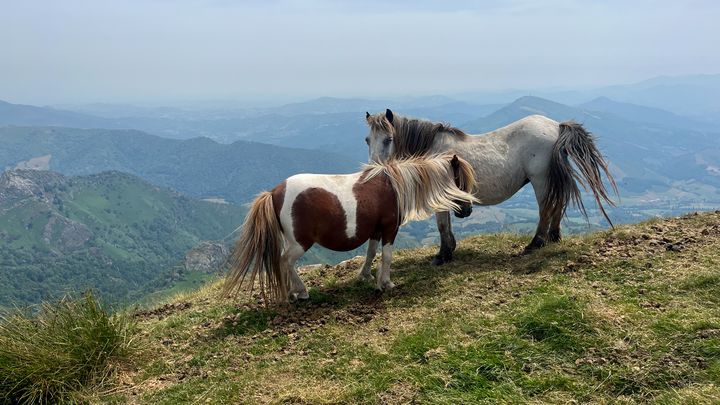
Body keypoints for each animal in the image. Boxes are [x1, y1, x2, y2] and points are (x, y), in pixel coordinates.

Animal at [222, 153, 476, 302]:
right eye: (460, 181)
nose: (467, 211)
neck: (392, 186)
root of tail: (275, 192)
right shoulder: (389, 229)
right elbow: (387, 256)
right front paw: (386, 283)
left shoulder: (375, 230)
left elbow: (371, 253)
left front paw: (365, 276)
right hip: (300, 243)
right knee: (285, 261)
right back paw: (298, 292)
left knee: (284, 263)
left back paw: (293, 290)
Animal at [366, 109, 620, 264]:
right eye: (367, 140)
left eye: (388, 139)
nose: (372, 171)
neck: (434, 152)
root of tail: (556, 126)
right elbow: (445, 225)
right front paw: (449, 250)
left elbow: (441, 225)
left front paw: (443, 255)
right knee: (557, 205)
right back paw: (554, 237)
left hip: (540, 179)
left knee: (547, 210)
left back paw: (535, 244)